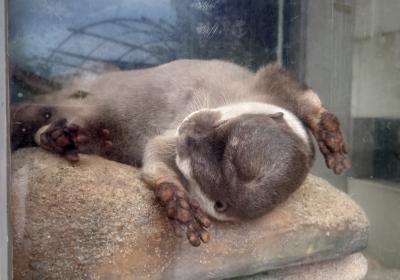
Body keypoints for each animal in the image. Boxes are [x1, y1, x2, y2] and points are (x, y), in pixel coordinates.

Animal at [10, 58, 348, 245]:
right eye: (223, 128)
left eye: (201, 171)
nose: (190, 131)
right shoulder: (263, 81)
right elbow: (299, 91)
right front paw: (331, 136)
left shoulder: (174, 141)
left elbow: (156, 153)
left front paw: (176, 199)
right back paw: (56, 135)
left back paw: (63, 139)